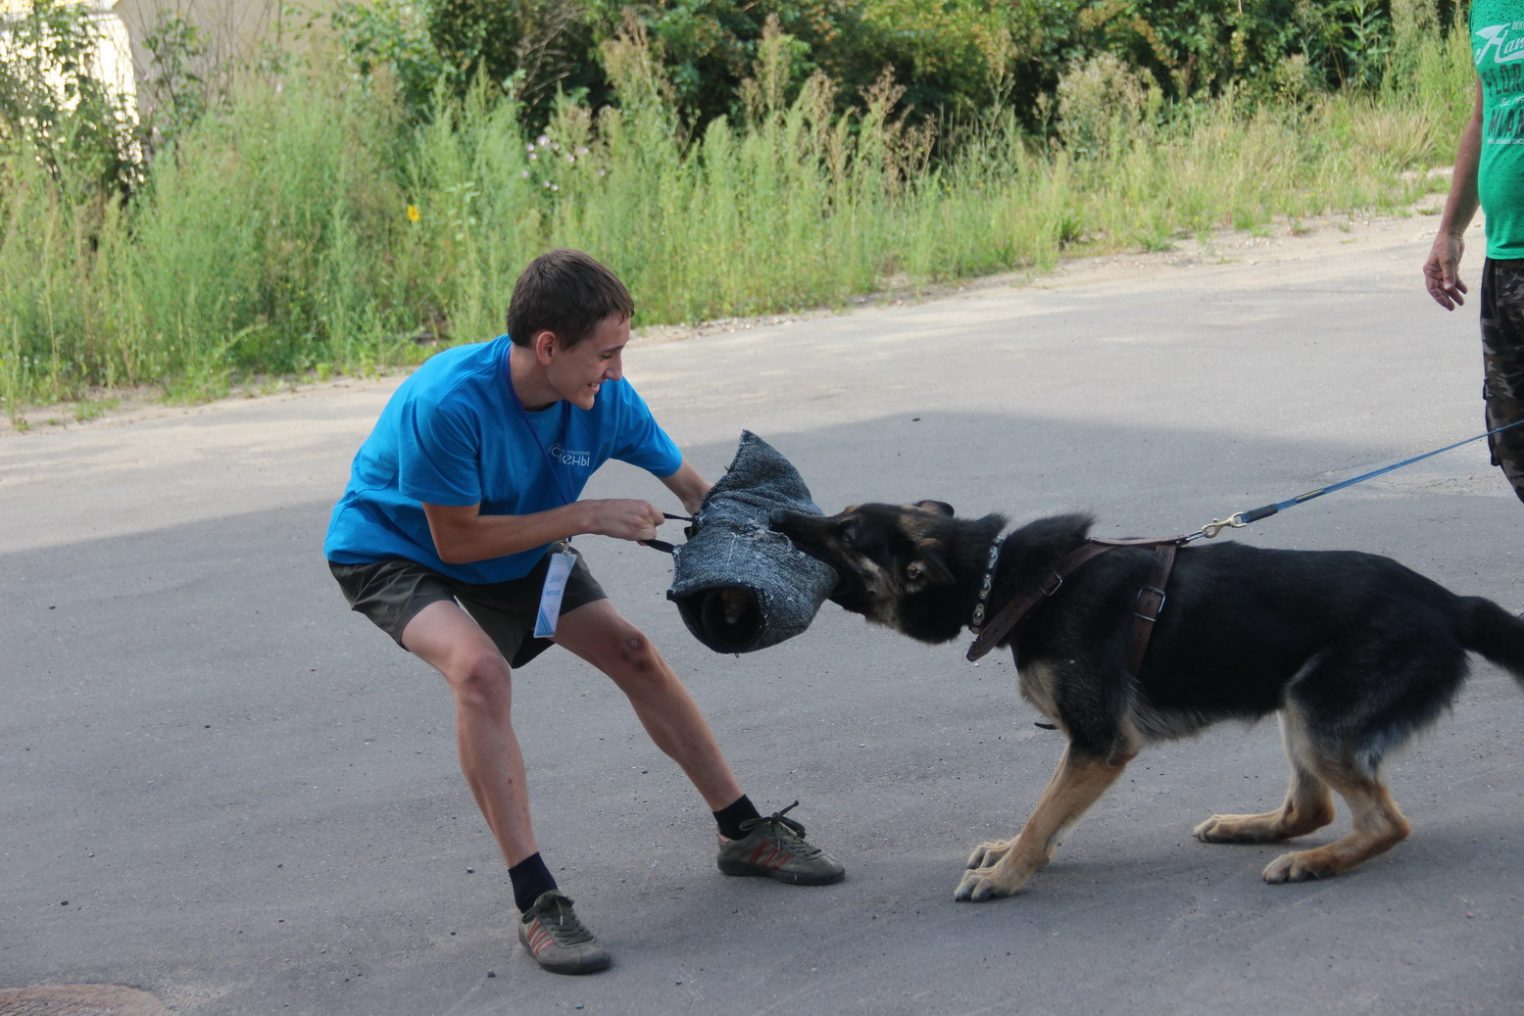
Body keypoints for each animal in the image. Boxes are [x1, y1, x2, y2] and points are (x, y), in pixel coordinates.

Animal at [774, 505, 1524, 901]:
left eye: (846, 534)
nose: (781, 516)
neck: (1002, 574)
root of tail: (1450, 604)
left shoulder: (1098, 744)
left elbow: (1045, 813)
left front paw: (1012, 871)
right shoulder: (1084, 747)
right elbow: (1047, 812)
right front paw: (1015, 853)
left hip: (1317, 715)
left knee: (1386, 823)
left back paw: (1313, 863)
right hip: (1299, 709)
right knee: (1312, 809)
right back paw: (1251, 829)